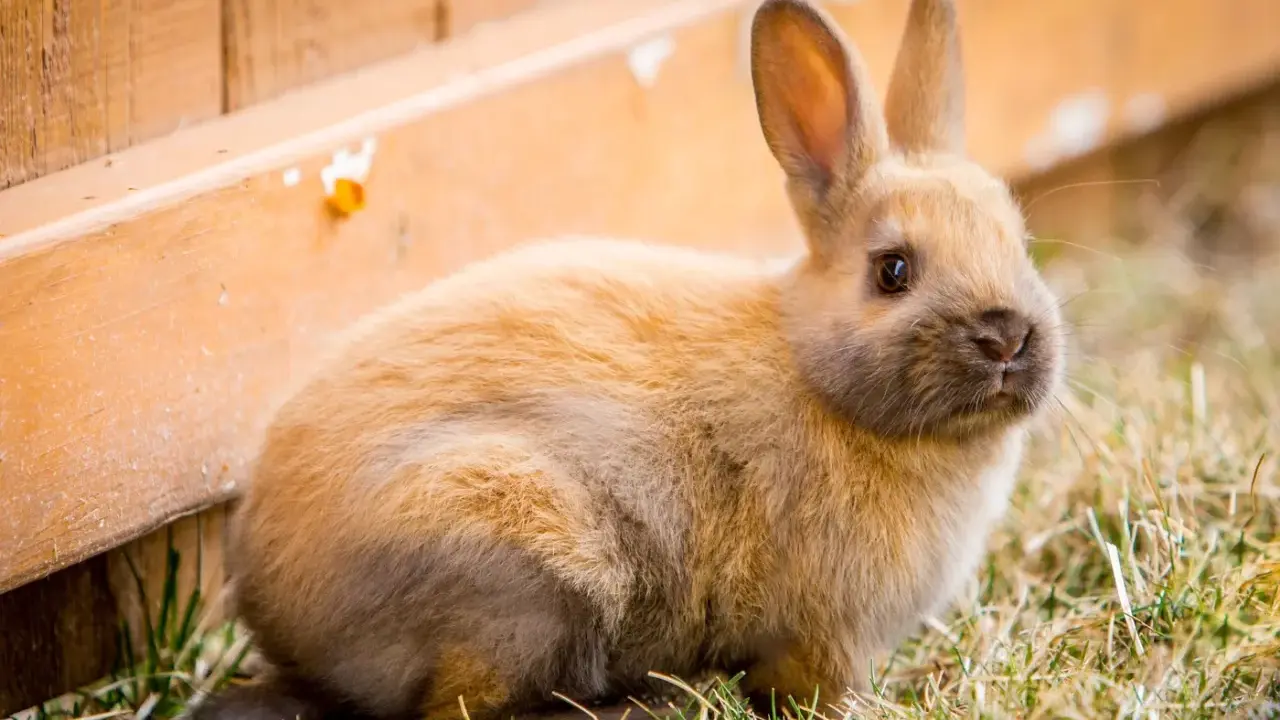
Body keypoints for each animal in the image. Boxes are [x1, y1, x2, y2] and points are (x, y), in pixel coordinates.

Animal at [191, 0, 1065, 718]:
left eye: (1019, 241)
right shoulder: (828, 633)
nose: (1007, 337)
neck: (817, 374)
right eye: (893, 271)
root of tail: (273, 598)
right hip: (519, 568)